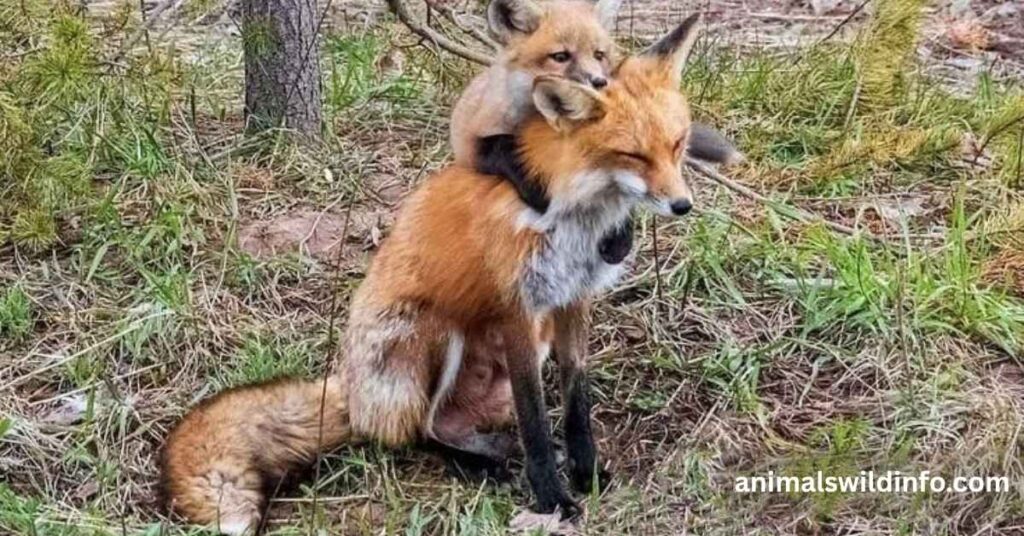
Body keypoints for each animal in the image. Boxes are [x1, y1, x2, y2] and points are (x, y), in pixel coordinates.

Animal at [161, 15, 709, 534]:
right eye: (633, 155)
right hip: (435, 332)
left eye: (677, 144)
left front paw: (586, 472)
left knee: (450, 424)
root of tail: (351, 388)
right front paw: (552, 498)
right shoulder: (519, 309)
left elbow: (576, 402)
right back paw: (478, 465)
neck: (576, 215)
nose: (683, 206)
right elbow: (535, 420)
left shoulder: (571, 301)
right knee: (418, 431)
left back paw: (492, 451)